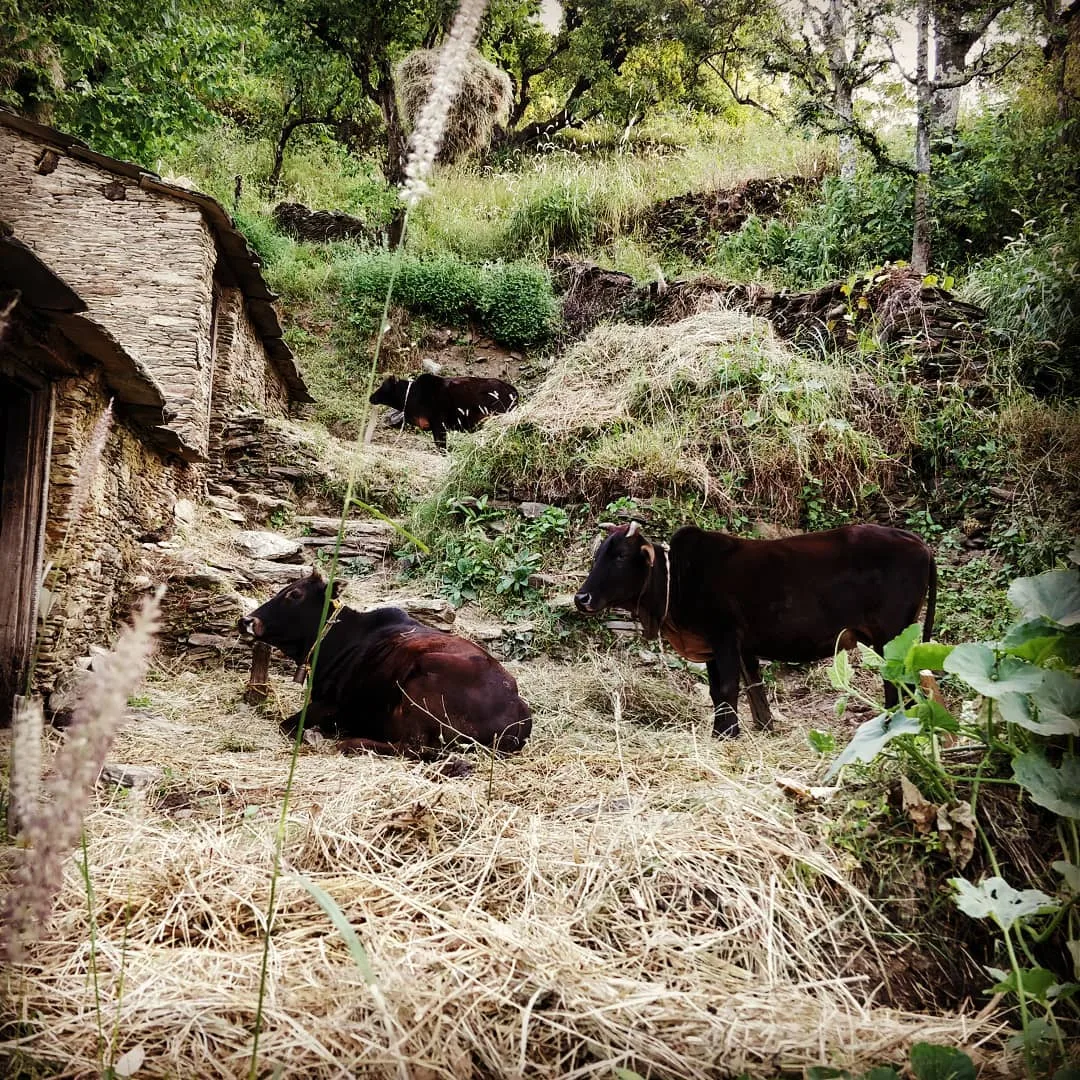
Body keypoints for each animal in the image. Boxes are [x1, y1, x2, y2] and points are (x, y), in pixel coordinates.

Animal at [237, 569, 532, 758]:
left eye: (295, 594)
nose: (246, 621)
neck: (341, 638)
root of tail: (517, 711)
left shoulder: (330, 705)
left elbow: (287, 725)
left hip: (423, 680)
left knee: (414, 747)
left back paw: (350, 743)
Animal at [370, 373, 519, 449]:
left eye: (385, 386)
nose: (371, 397)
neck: (412, 394)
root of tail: (513, 390)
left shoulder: (438, 425)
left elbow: (441, 445)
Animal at [574, 522, 936, 738]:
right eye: (599, 554)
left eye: (621, 556)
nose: (582, 598)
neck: (675, 579)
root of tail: (918, 543)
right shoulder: (722, 647)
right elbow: (741, 692)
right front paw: (752, 729)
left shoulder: (724, 637)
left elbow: (727, 689)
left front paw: (725, 734)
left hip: (891, 638)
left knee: (897, 684)